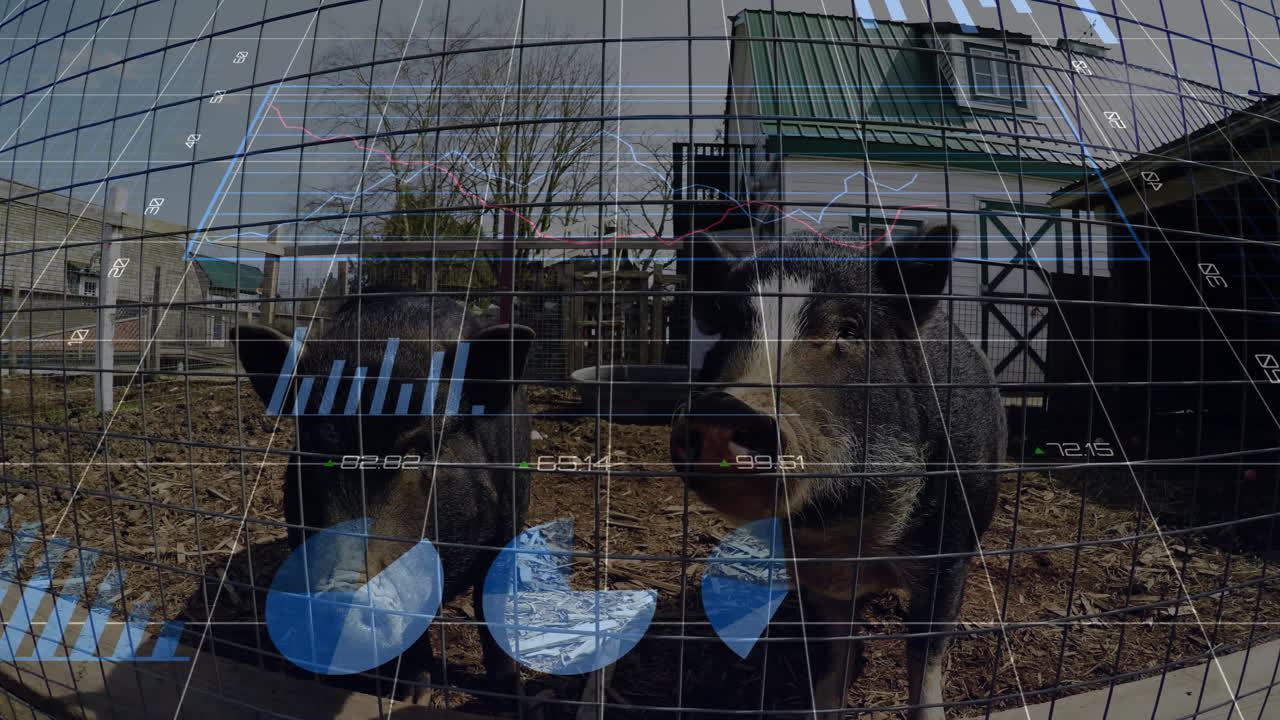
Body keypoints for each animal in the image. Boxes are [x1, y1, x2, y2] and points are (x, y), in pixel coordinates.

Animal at [234, 289, 533, 701]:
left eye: (420, 450)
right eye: (315, 450)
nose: (344, 596)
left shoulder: (509, 521)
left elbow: (490, 606)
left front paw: (510, 694)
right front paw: (411, 693)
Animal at [671, 226, 1006, 720]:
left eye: (849, 330)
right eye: (730, 329)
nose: (724, 407)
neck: (842, 528)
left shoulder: (950, 553)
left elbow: (925, 654)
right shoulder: (814, 577)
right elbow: (832, 657)